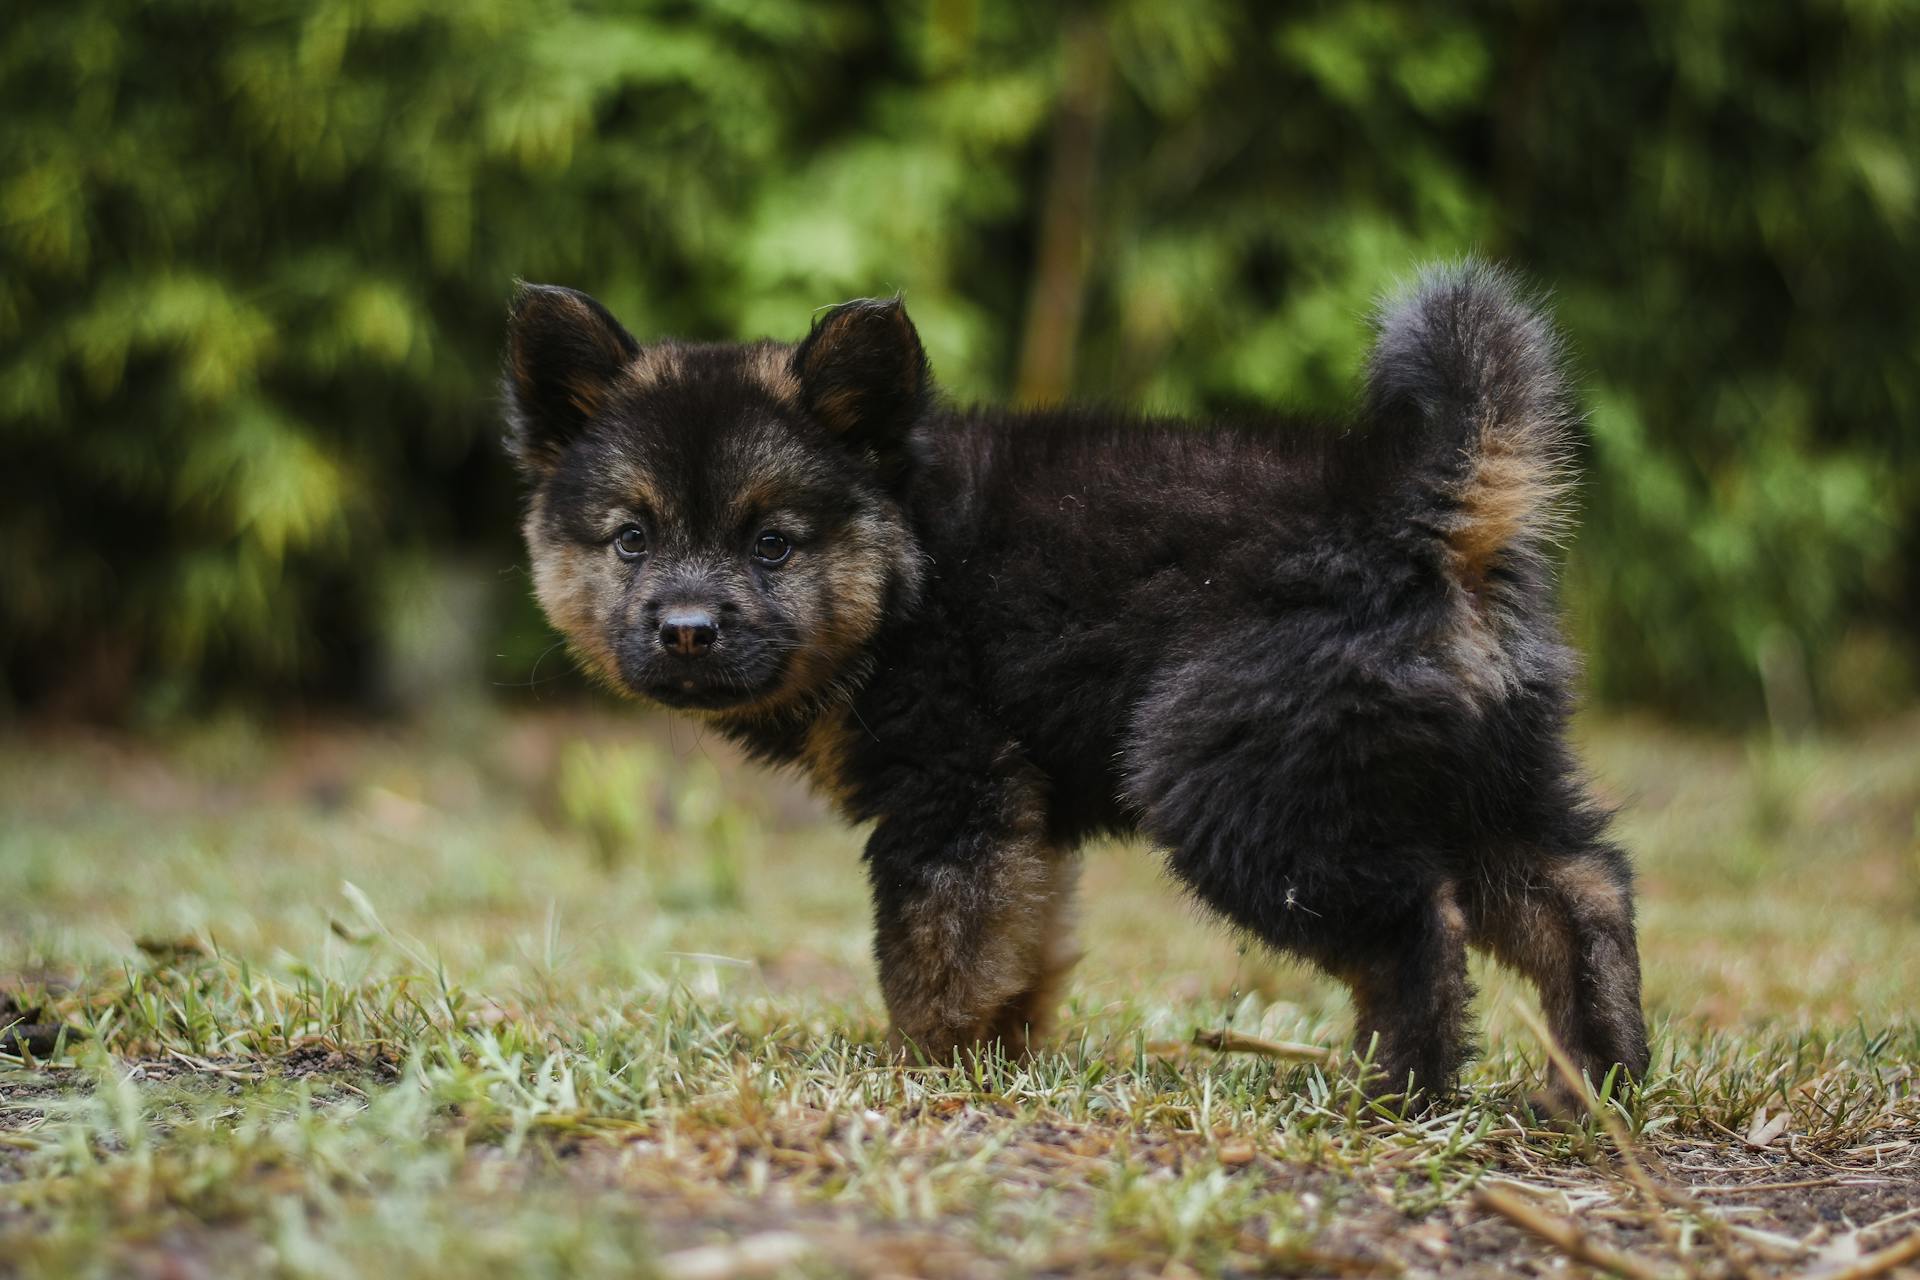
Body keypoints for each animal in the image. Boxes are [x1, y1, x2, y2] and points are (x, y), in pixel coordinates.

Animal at [506, 262, 1651, 1105]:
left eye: (773, 544)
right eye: (632, 538)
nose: (687, 630)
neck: (908, 562)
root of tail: (1408, 511)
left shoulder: (956, 791)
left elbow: (935, 950)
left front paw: (923, 1071)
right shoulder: (1023, 812)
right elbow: (1020, 943)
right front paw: (999, 1058)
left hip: (1237, 790)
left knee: (1419, 925)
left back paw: (1396, 1092)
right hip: (1462, 771)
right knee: (1581, 888)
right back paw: (1597, 1080)